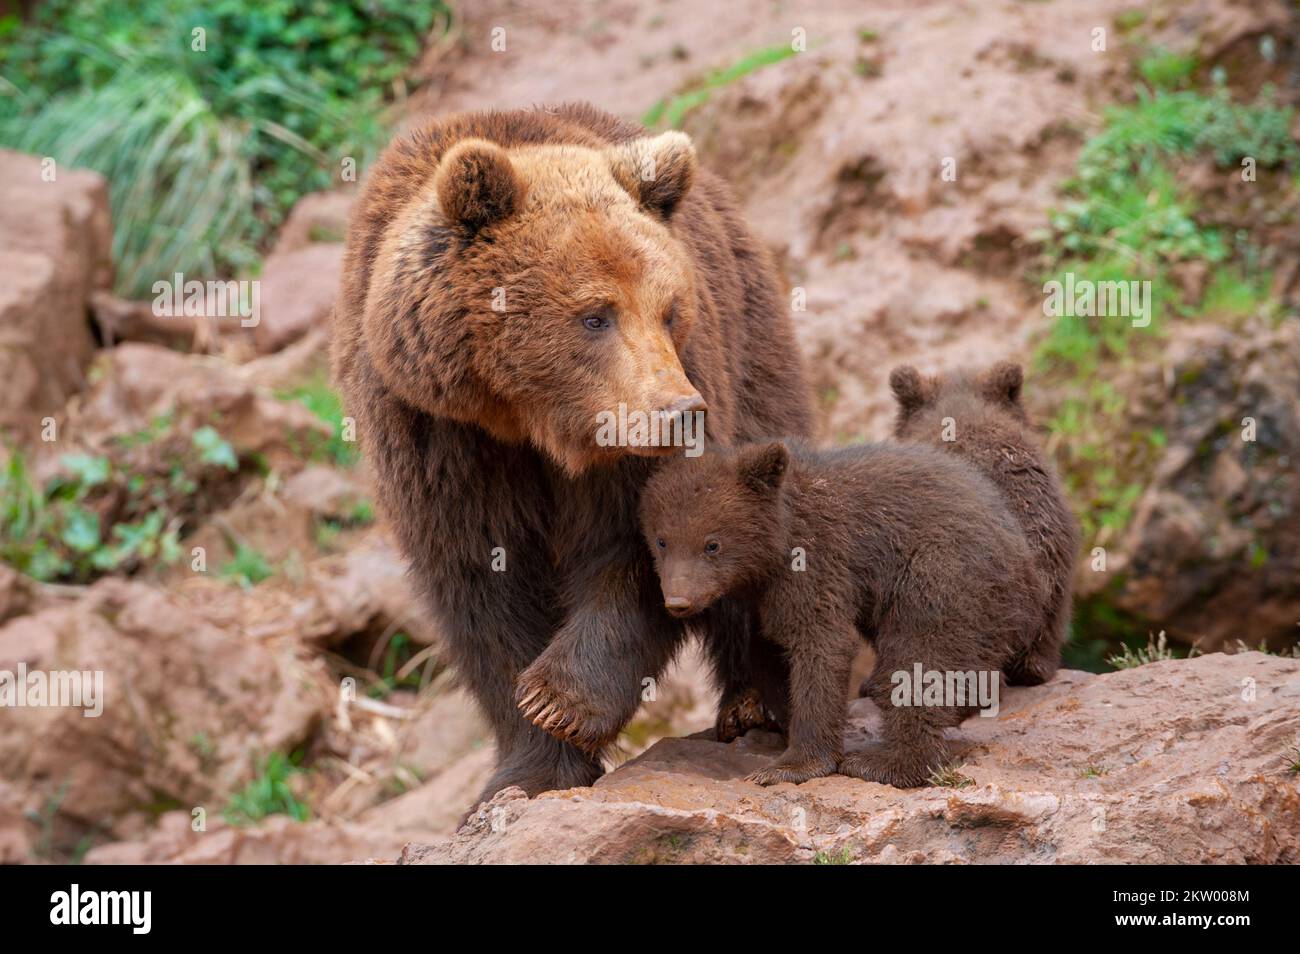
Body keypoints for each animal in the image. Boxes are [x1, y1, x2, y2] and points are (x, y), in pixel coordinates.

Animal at [330, 103, 814, 810]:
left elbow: (647, 543)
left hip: (754, 353)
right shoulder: (436, 436)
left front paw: (560, 700)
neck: (526, 419)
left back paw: (753, 704)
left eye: (669, 311)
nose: (678, 411)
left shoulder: (641, 436)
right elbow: (481, 583)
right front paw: (529, 764)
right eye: (595, 316)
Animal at [639, 440, 1048, 787]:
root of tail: (1026, 562)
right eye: (662, 540)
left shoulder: (817, 563)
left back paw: (885, 762)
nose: (678, 601)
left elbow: (821, 646)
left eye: (712, 544)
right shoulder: (760, 602)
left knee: (922, 657)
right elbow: (768, 652)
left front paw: (791, 764)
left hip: (944, 576)